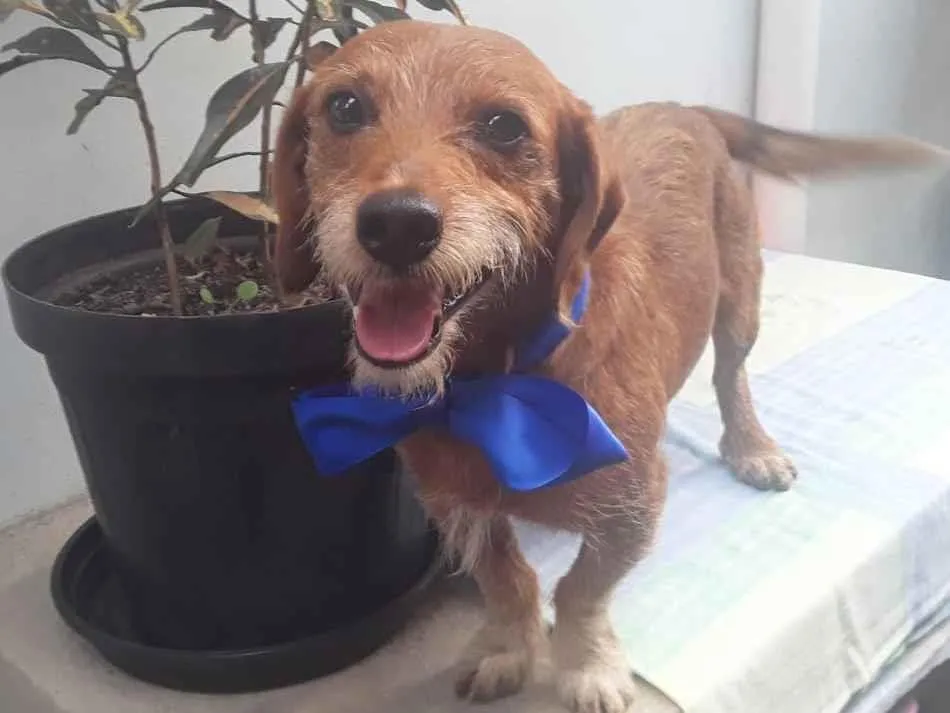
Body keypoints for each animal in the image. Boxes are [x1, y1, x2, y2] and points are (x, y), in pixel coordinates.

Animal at [272, 21, 944, 713]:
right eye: (345, 107)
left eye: (504, 126)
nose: (396, 224)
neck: (497, 380)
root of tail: (686, 108)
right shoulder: (456, 504)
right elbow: (508, 579)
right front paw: (507, 648)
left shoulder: (634, 510)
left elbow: (580, 591)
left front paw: (589, 666)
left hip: (740, 304)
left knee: (731, 376)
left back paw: (752, 446)